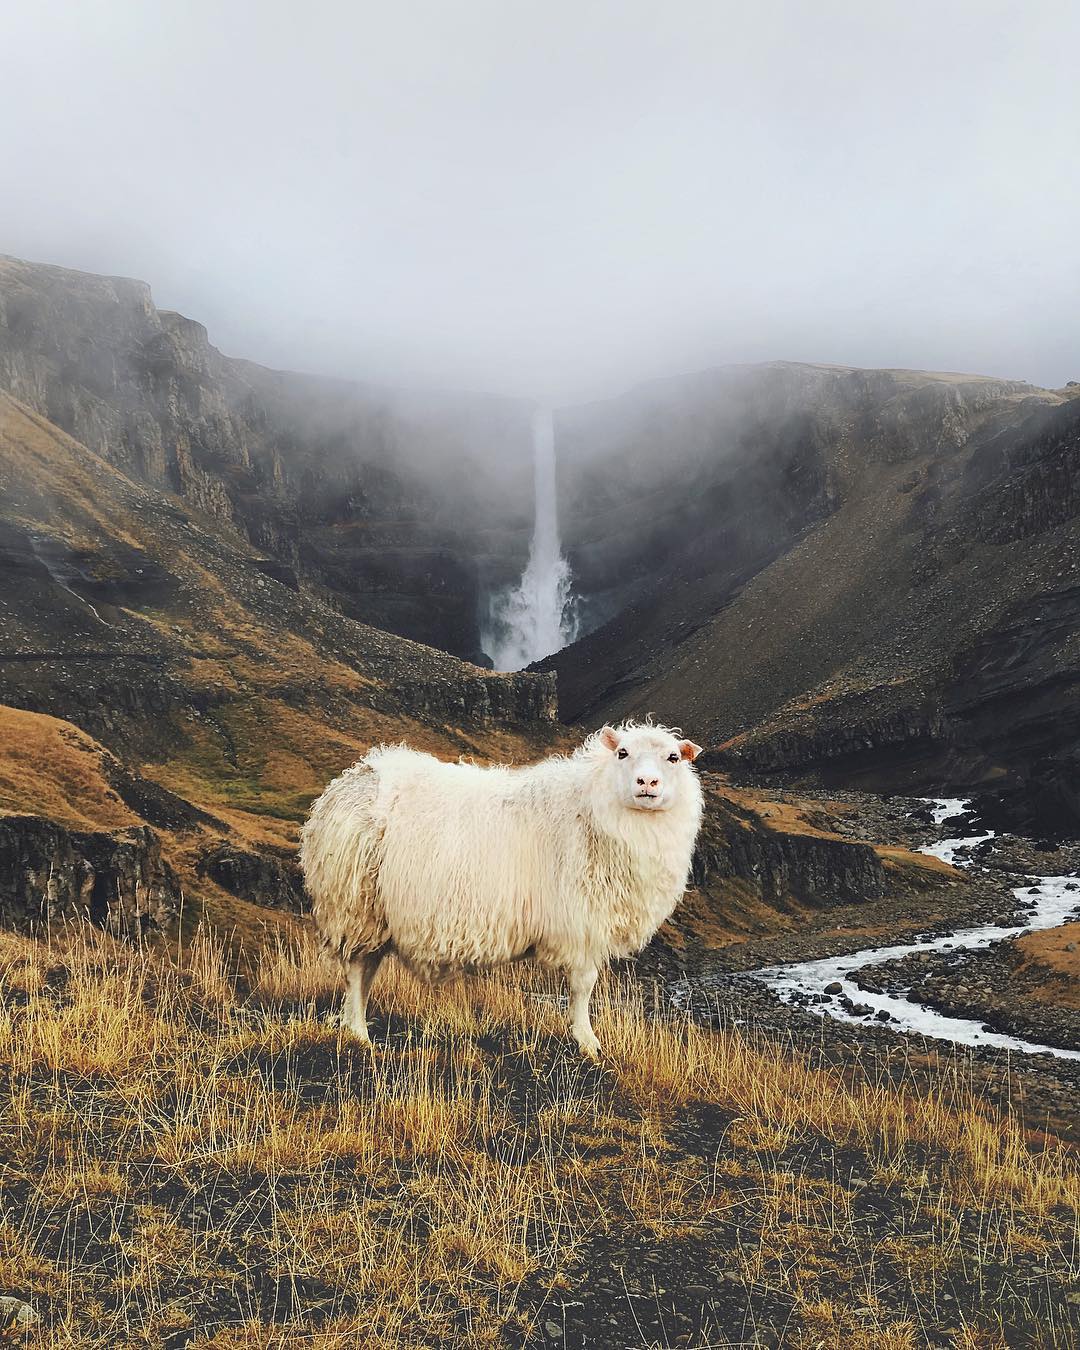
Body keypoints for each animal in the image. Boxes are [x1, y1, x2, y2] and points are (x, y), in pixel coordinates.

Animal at [297, 718, 702, 1053]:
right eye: (622, 753)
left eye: (673, 758)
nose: (647, 783)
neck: (593, 806)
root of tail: (353, 778)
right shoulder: (582, 922)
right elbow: (583, 986)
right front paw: (588, 1042)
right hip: (356, 904)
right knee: (355, 971)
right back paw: (358, 1033)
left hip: (375, 914)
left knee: (367, 969)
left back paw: (354, 1026)